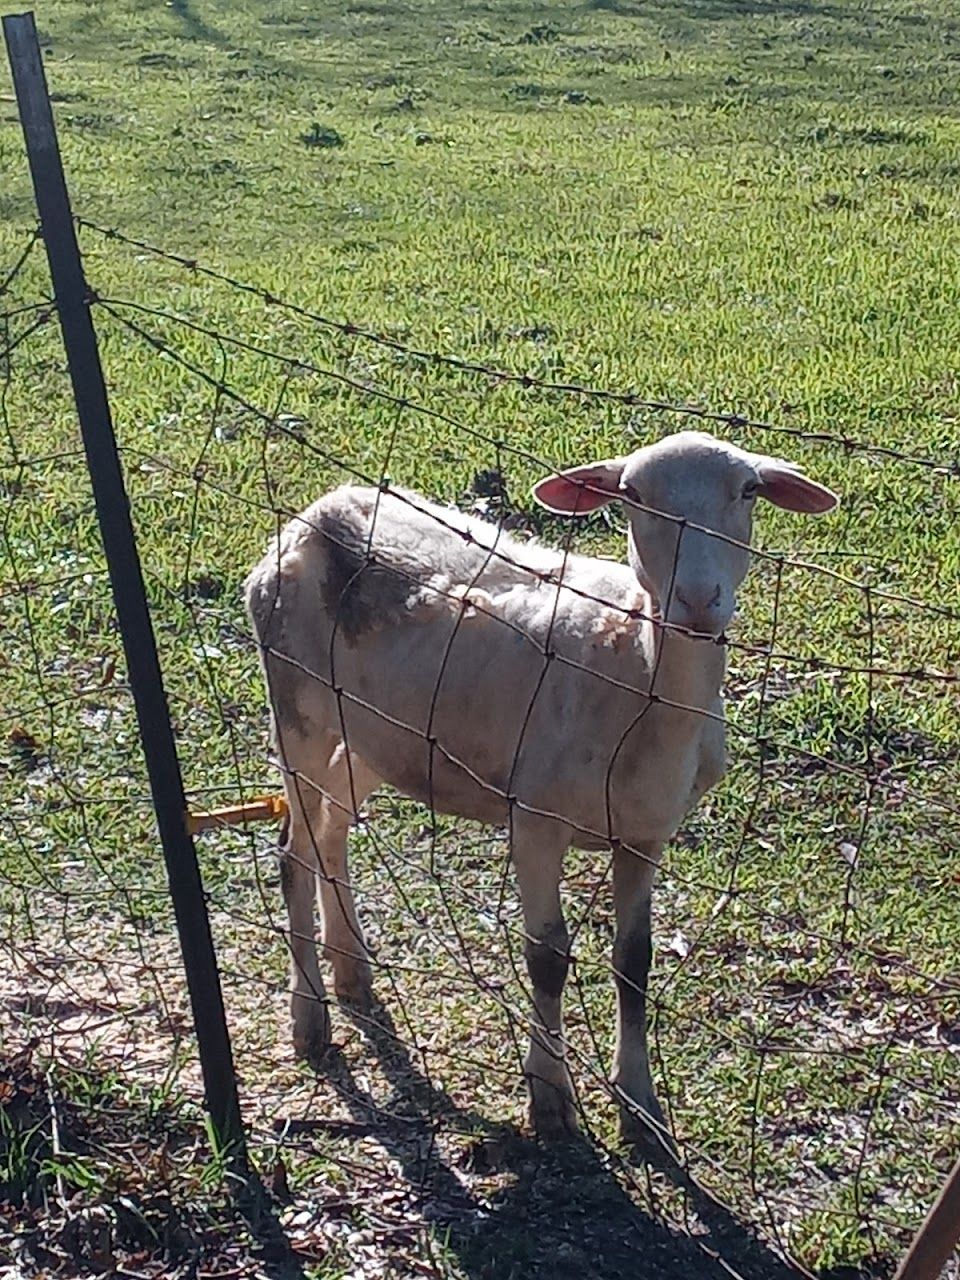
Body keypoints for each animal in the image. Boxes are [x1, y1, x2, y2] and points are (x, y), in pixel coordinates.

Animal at [248, 427, 839, 1141]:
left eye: (748, 490)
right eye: (632, 495)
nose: (698, 601)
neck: (636, 671)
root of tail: (319, 511)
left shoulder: (644, 834)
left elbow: (634, 962)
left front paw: (639, 1099)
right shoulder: (534, 819)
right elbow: (547, 958)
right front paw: (550, 1093)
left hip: (372, 735)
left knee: (331, 833)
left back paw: (353, 971)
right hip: (297, 710)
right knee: (294, 854)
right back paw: (310, 1015)